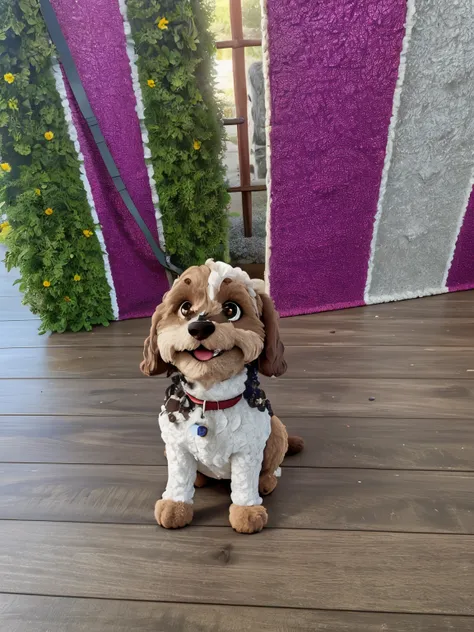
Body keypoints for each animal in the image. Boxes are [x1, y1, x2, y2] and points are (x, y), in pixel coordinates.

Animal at [141, 260, 304, 532]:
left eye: (231, 309)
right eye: (185, 308)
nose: (199, 327)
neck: (211, 399)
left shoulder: (247, 451)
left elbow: (244, 482)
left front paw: (247, 512)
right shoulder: (177, 448)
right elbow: (178, 479)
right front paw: (174, 506)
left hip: (276, 429)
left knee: (270, 469)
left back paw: (265, 483)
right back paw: (198, 478)